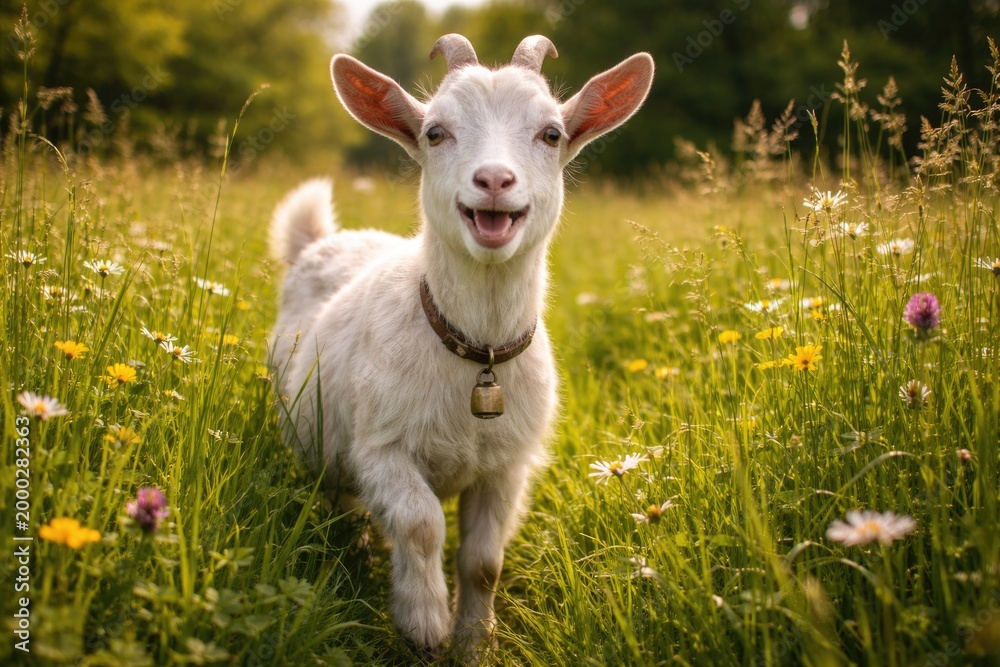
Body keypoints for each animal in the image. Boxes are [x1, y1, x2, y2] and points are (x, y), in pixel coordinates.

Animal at [269, 34, 653, 660]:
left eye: (552, 134)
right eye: (435, 132)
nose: (494, 180)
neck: (479, 356)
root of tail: (321, 243)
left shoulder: (506, 469)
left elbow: (483, 562)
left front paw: (474, 643)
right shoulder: (379, 448)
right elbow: (422, 523)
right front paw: (425, 625)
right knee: (344, 505)